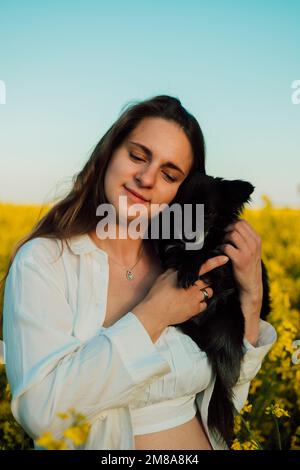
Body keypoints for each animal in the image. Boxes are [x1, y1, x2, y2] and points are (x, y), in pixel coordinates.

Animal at [150, 172, 272, 448]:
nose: (189, 235)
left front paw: (189, 265)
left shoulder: (223, 265)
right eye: (180, 210)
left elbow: (205, 253)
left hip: (227, 319)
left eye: (210, 213)